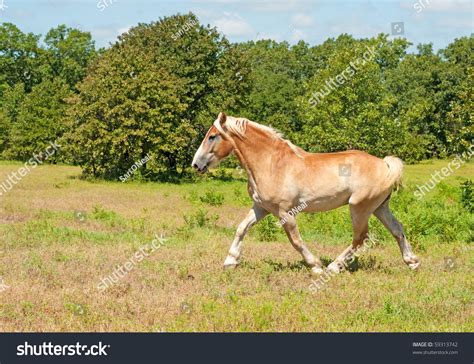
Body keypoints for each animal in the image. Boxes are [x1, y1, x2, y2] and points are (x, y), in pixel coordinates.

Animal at [191, 112, 420, 274]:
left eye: (212, 136)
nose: (195, 164)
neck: (271, 163)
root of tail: (384, 164)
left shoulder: (285, 212)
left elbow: (296, 240)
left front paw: (316, 266)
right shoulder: (261, 207)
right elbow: (241, 228)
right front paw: (230, 261)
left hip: (359, 208)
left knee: (360, 238)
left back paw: (333, 267)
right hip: (380, 207)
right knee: (397, 229)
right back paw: (412, 262)